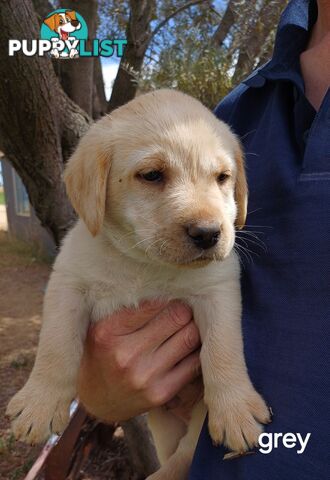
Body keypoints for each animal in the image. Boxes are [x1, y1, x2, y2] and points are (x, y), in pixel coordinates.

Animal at [7, 89, 270, 476]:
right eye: (152, 175)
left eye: (223, 177)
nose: (209, 233)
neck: (144, 263)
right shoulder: (68, 283)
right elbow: (56, 346)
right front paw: (39, 403)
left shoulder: (218, 290)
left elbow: (223, 350)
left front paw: (235, 409)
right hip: (164, 427)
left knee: (183, 458)